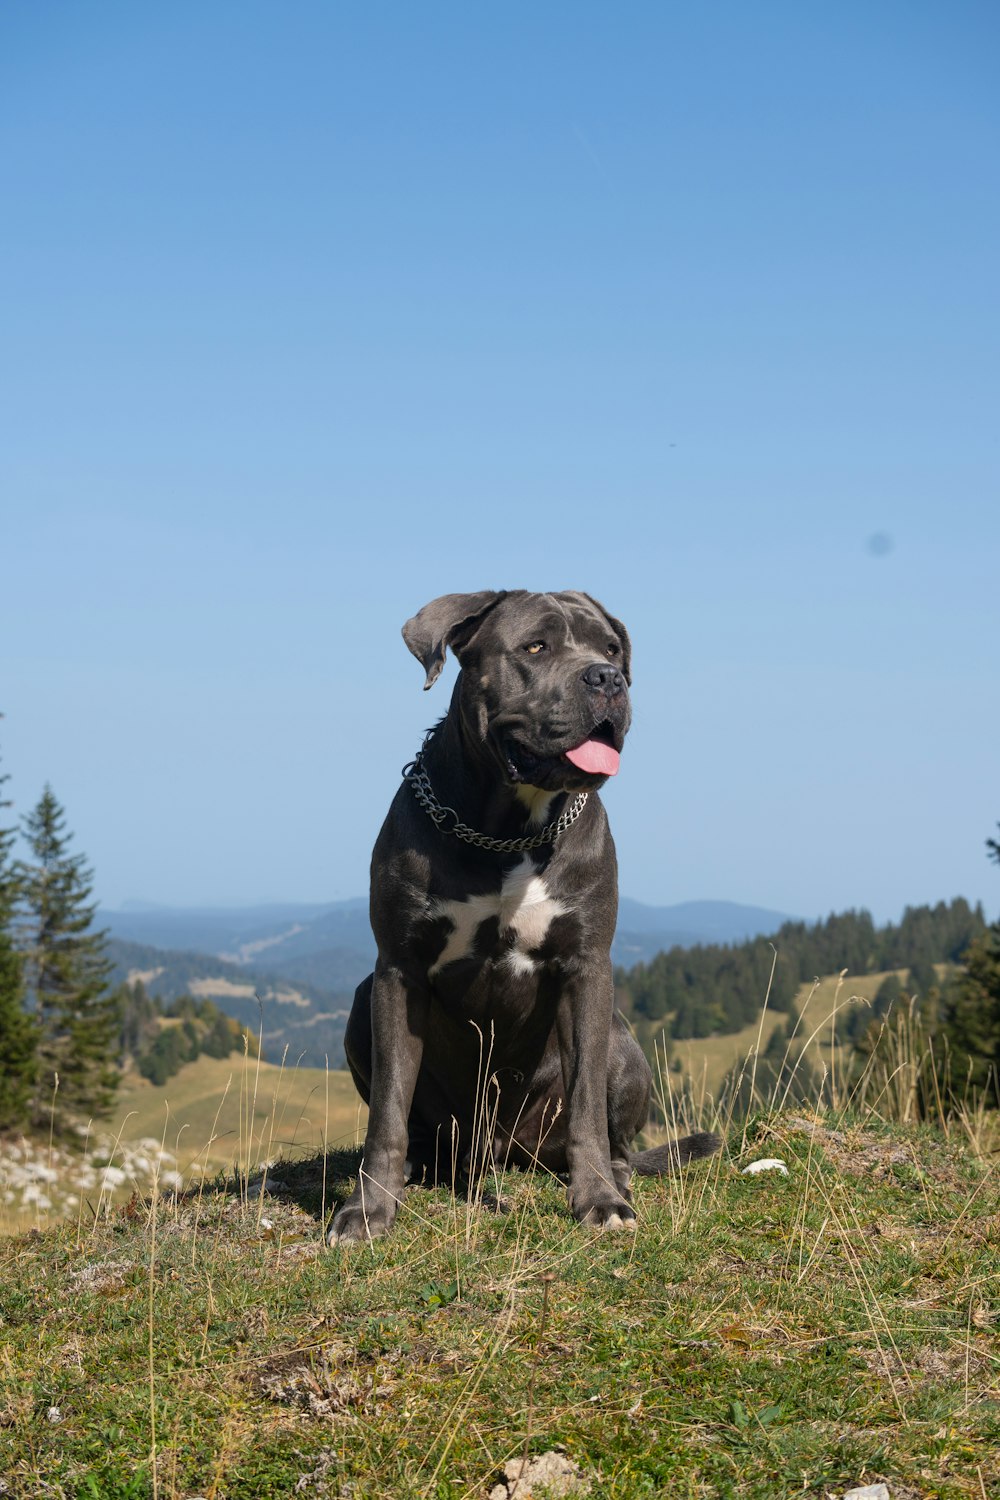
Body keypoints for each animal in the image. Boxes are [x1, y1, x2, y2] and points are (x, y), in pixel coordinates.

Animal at [328, 588, 719, 1242]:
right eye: (536, 647)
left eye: (611, 649)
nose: (608, 678)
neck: (506, 831)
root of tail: (500, 1154)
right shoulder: (397, 970)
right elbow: (387, 1110)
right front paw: (368, 1208)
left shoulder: (586, 967)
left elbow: (585, 1105)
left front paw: (599, 1201)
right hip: (365, 1007)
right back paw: (418, 1167)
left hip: (621, 1045)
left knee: (611, 1134)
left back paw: (617, 1176)